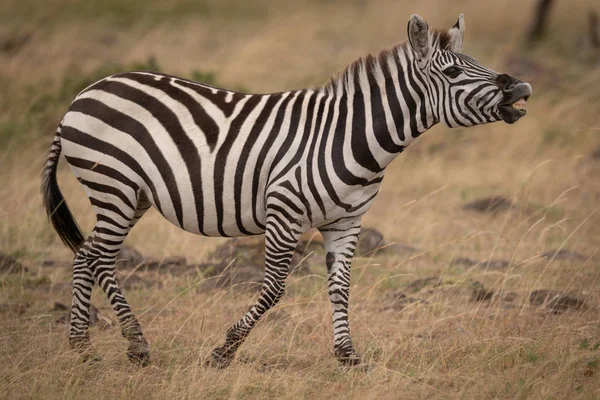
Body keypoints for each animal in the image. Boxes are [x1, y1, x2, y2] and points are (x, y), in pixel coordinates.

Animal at [41, 14, 528, 368]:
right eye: (453, 71)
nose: (520, 86)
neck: (351, 138)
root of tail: (83, 93)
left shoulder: (347, 221)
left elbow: (340, 286)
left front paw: (348, 356)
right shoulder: (284, 210)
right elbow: (275, 288)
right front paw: (224, 351)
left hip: (132, 195)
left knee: (86, 254)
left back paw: (82, 347)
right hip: (114, 185)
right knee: (99, 257)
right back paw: (136, 346)